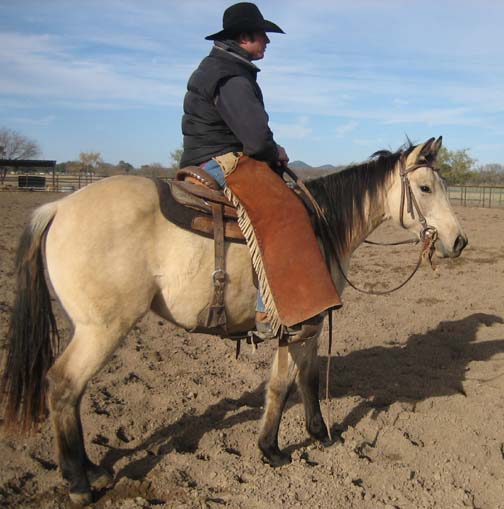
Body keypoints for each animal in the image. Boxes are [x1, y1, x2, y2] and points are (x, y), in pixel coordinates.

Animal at [0, 136, 466, 504]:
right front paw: (271, 449)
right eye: (425, 187)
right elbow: (281, 384)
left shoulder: (312, 325)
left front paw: (318, 432)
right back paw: (79, 483)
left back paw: (92, 469)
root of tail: (58, 207)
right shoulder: (296, 325)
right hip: (102, 330)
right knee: (64, 385)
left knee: (72, 391)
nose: (458, 240)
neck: (325, 228)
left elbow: (309, 377)